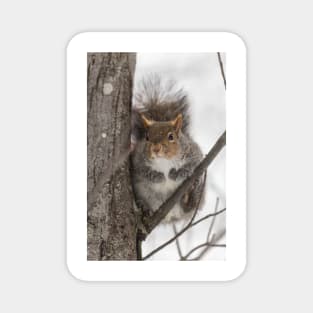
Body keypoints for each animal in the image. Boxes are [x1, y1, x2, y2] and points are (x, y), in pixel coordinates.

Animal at [130, 75, 205, 222]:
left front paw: (175, 174)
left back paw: (190, 194)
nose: (156, 149)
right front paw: (158, 176)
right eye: (147, 137)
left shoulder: (194, 153)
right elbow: (143, 170)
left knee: (190, 207)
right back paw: (145, 208)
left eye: (171, 137)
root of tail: (173, 215)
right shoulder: (137, 159)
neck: (164, 161)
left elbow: (193, 164)